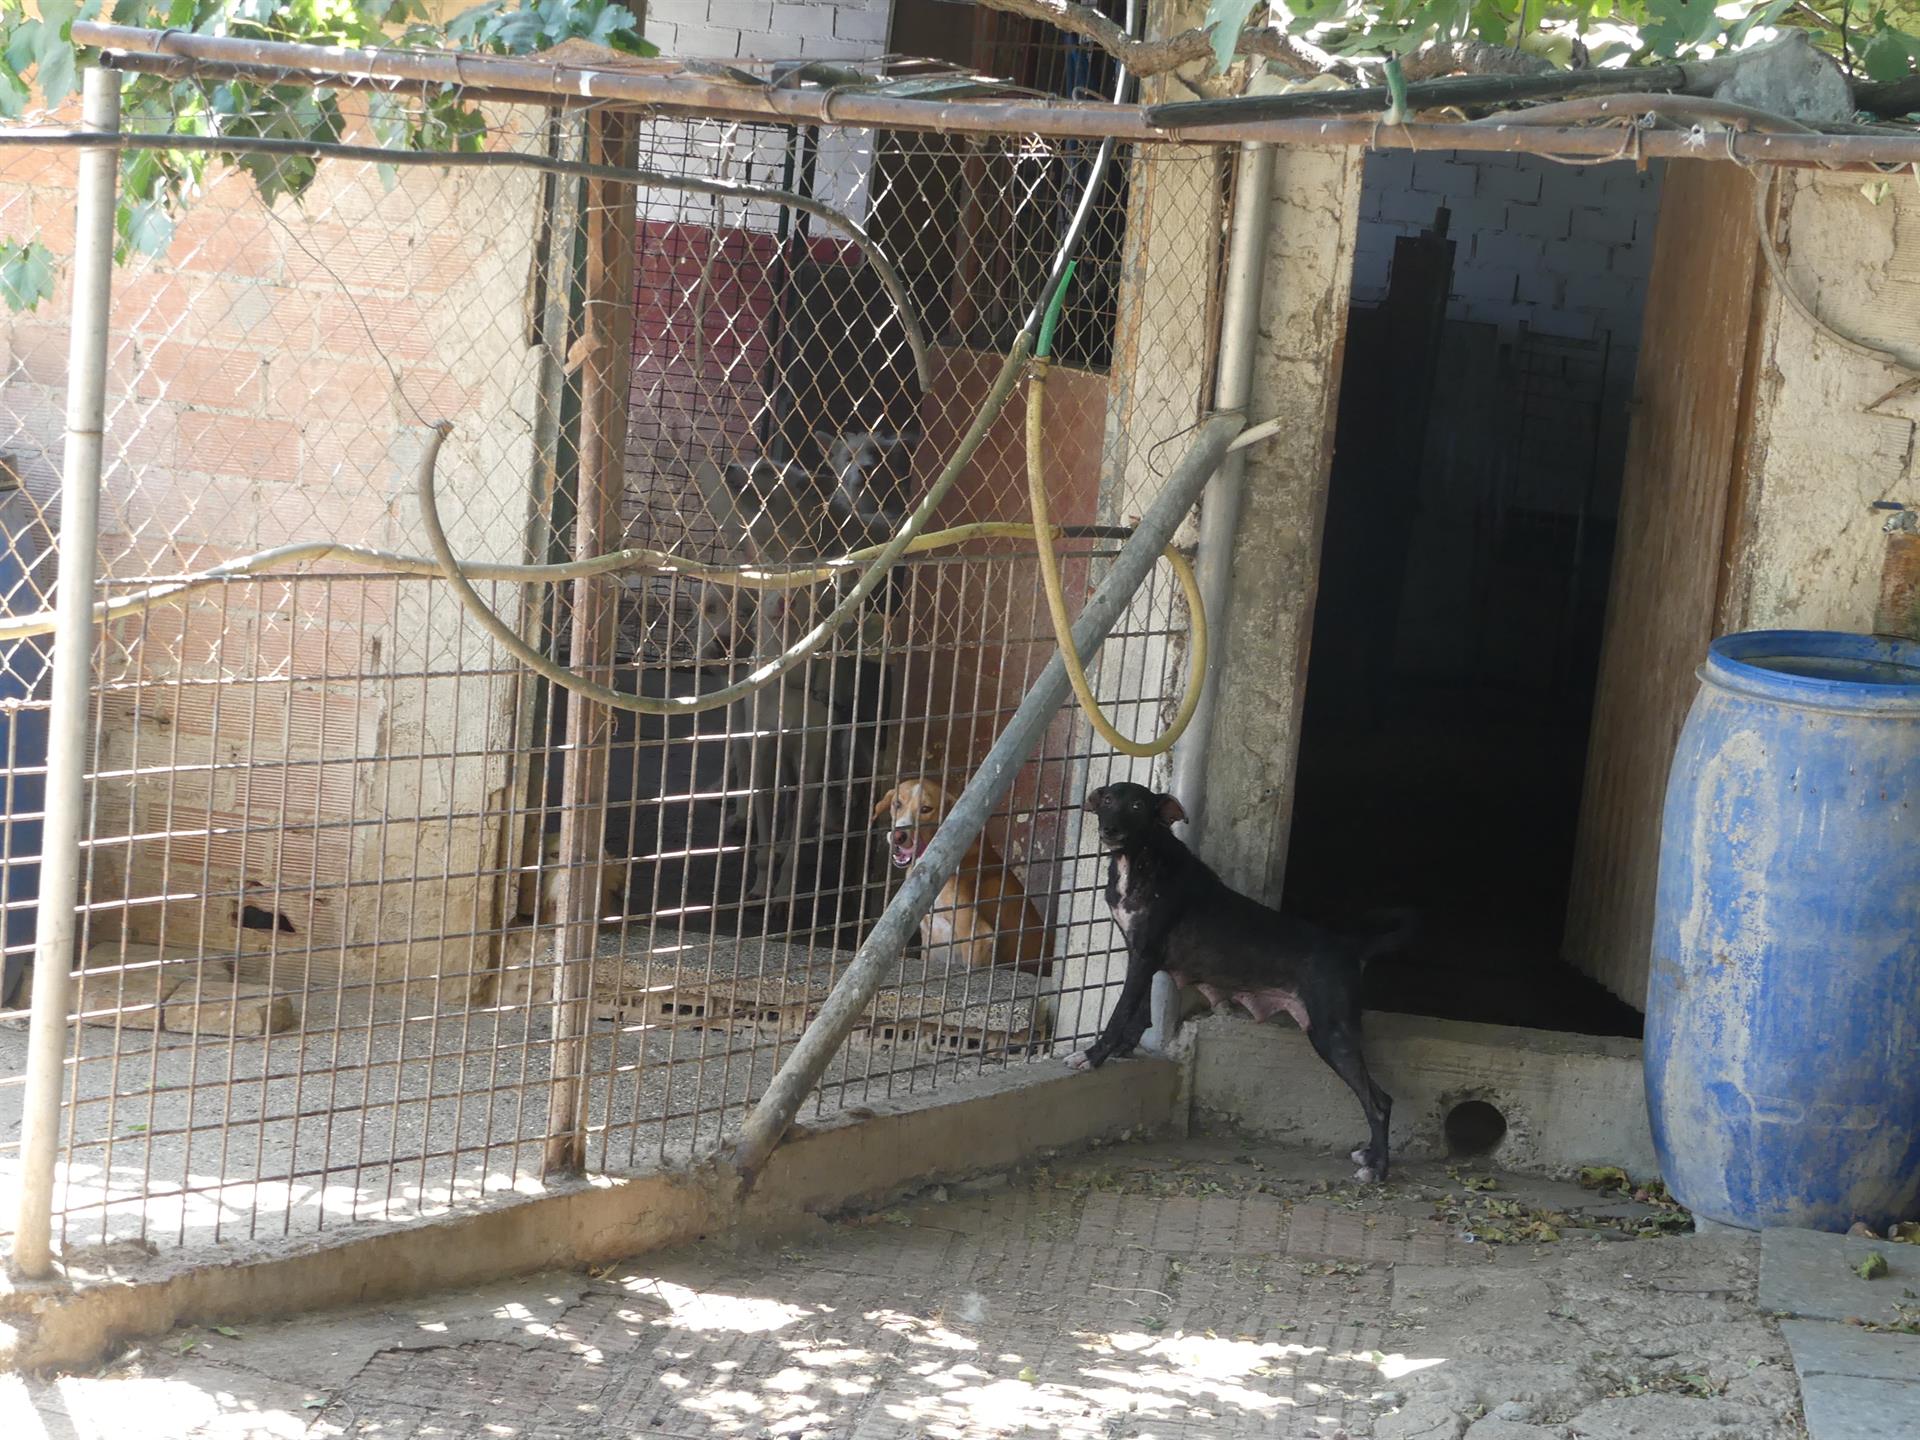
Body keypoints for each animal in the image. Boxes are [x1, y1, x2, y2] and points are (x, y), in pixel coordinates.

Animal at [1075, 791, 1420, 1182]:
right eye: (1106, 800)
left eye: (1136, 806)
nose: (1109, 829)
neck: (1141, 859)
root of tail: (1352, 947)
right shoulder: (1141, 956)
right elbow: (1138, 1012)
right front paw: (1123, 1049)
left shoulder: (1144, 957)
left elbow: (1120, 1013)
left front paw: (1093, 1056)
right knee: (1381, 1098)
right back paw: (1372, 1156)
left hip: (1332, 1035)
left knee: (1378, 1103)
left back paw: (1378, 1169)